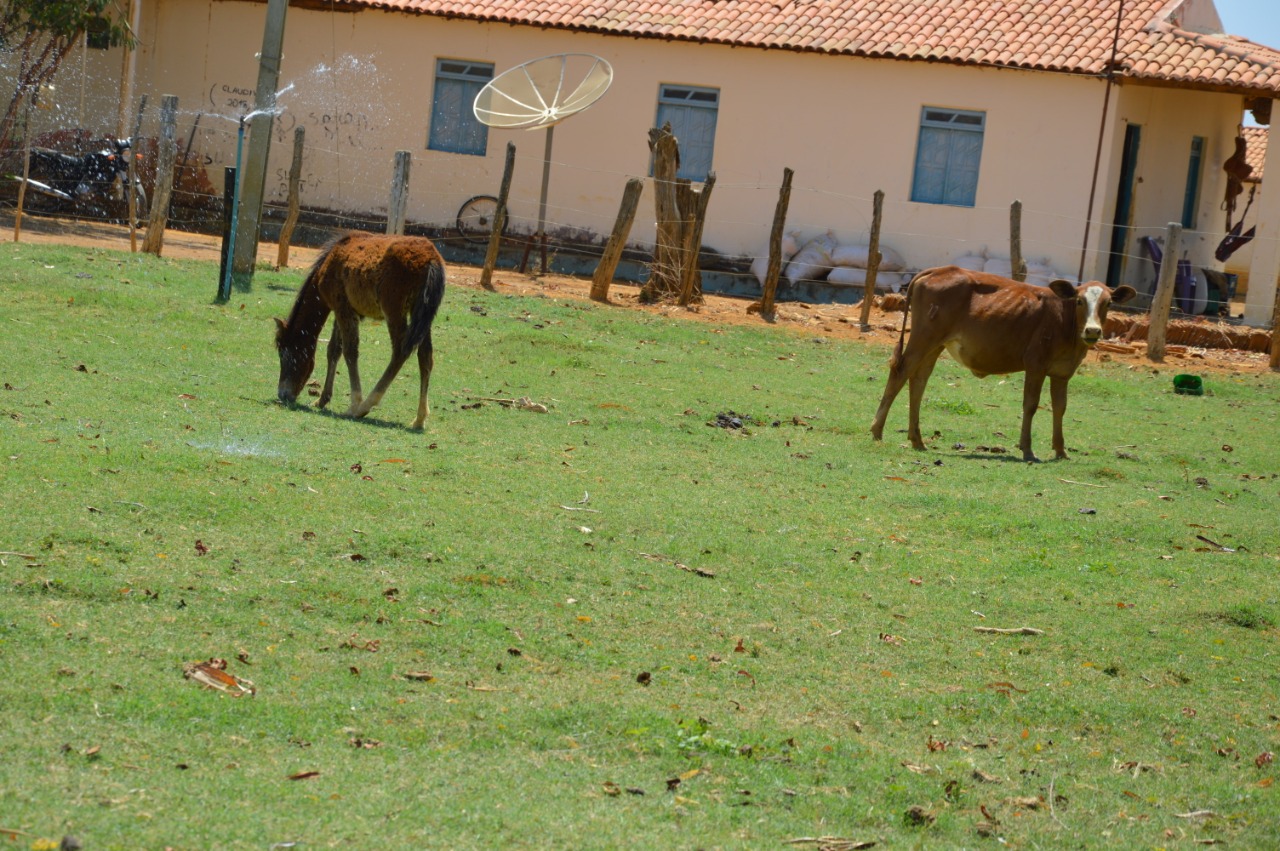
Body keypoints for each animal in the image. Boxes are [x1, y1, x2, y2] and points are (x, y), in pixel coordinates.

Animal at [273, 230, 445, 427]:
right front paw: (322, 399)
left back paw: (365, 406)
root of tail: (431, 259)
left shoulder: (343, 309)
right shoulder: (343, 310)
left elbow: (350, 351)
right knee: (425, 357)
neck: (329, 263)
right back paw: (419, 418)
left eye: (285, 354)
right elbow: (334, 350)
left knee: (400, 352)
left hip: (394, 310)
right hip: (422, 314)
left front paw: (354, 403)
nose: (283, 394)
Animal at [870, 268, 1131, 460]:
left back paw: (917, 439)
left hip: (935, 345)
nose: (1093, 330)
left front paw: (1060, 450)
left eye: (1108, 303)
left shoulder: (1062, 373)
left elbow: (1060, 408)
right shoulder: (1035, 365)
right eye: (1079, 300)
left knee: (918, 380)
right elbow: (1030, 405)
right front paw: (1027, 449)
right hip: (924, 338)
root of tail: (940, 269)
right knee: (901, 372)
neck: (1065, 323)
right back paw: (877, 430)